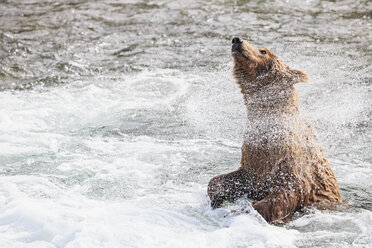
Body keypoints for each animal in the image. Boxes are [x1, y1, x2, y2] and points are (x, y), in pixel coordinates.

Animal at [208, 37, 342, 225]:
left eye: (263, 51)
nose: (237, 40)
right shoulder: (255, 159)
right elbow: (234, 179)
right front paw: (216, 199)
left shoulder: (288, 161)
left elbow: (284, 195)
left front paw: (241, 211)